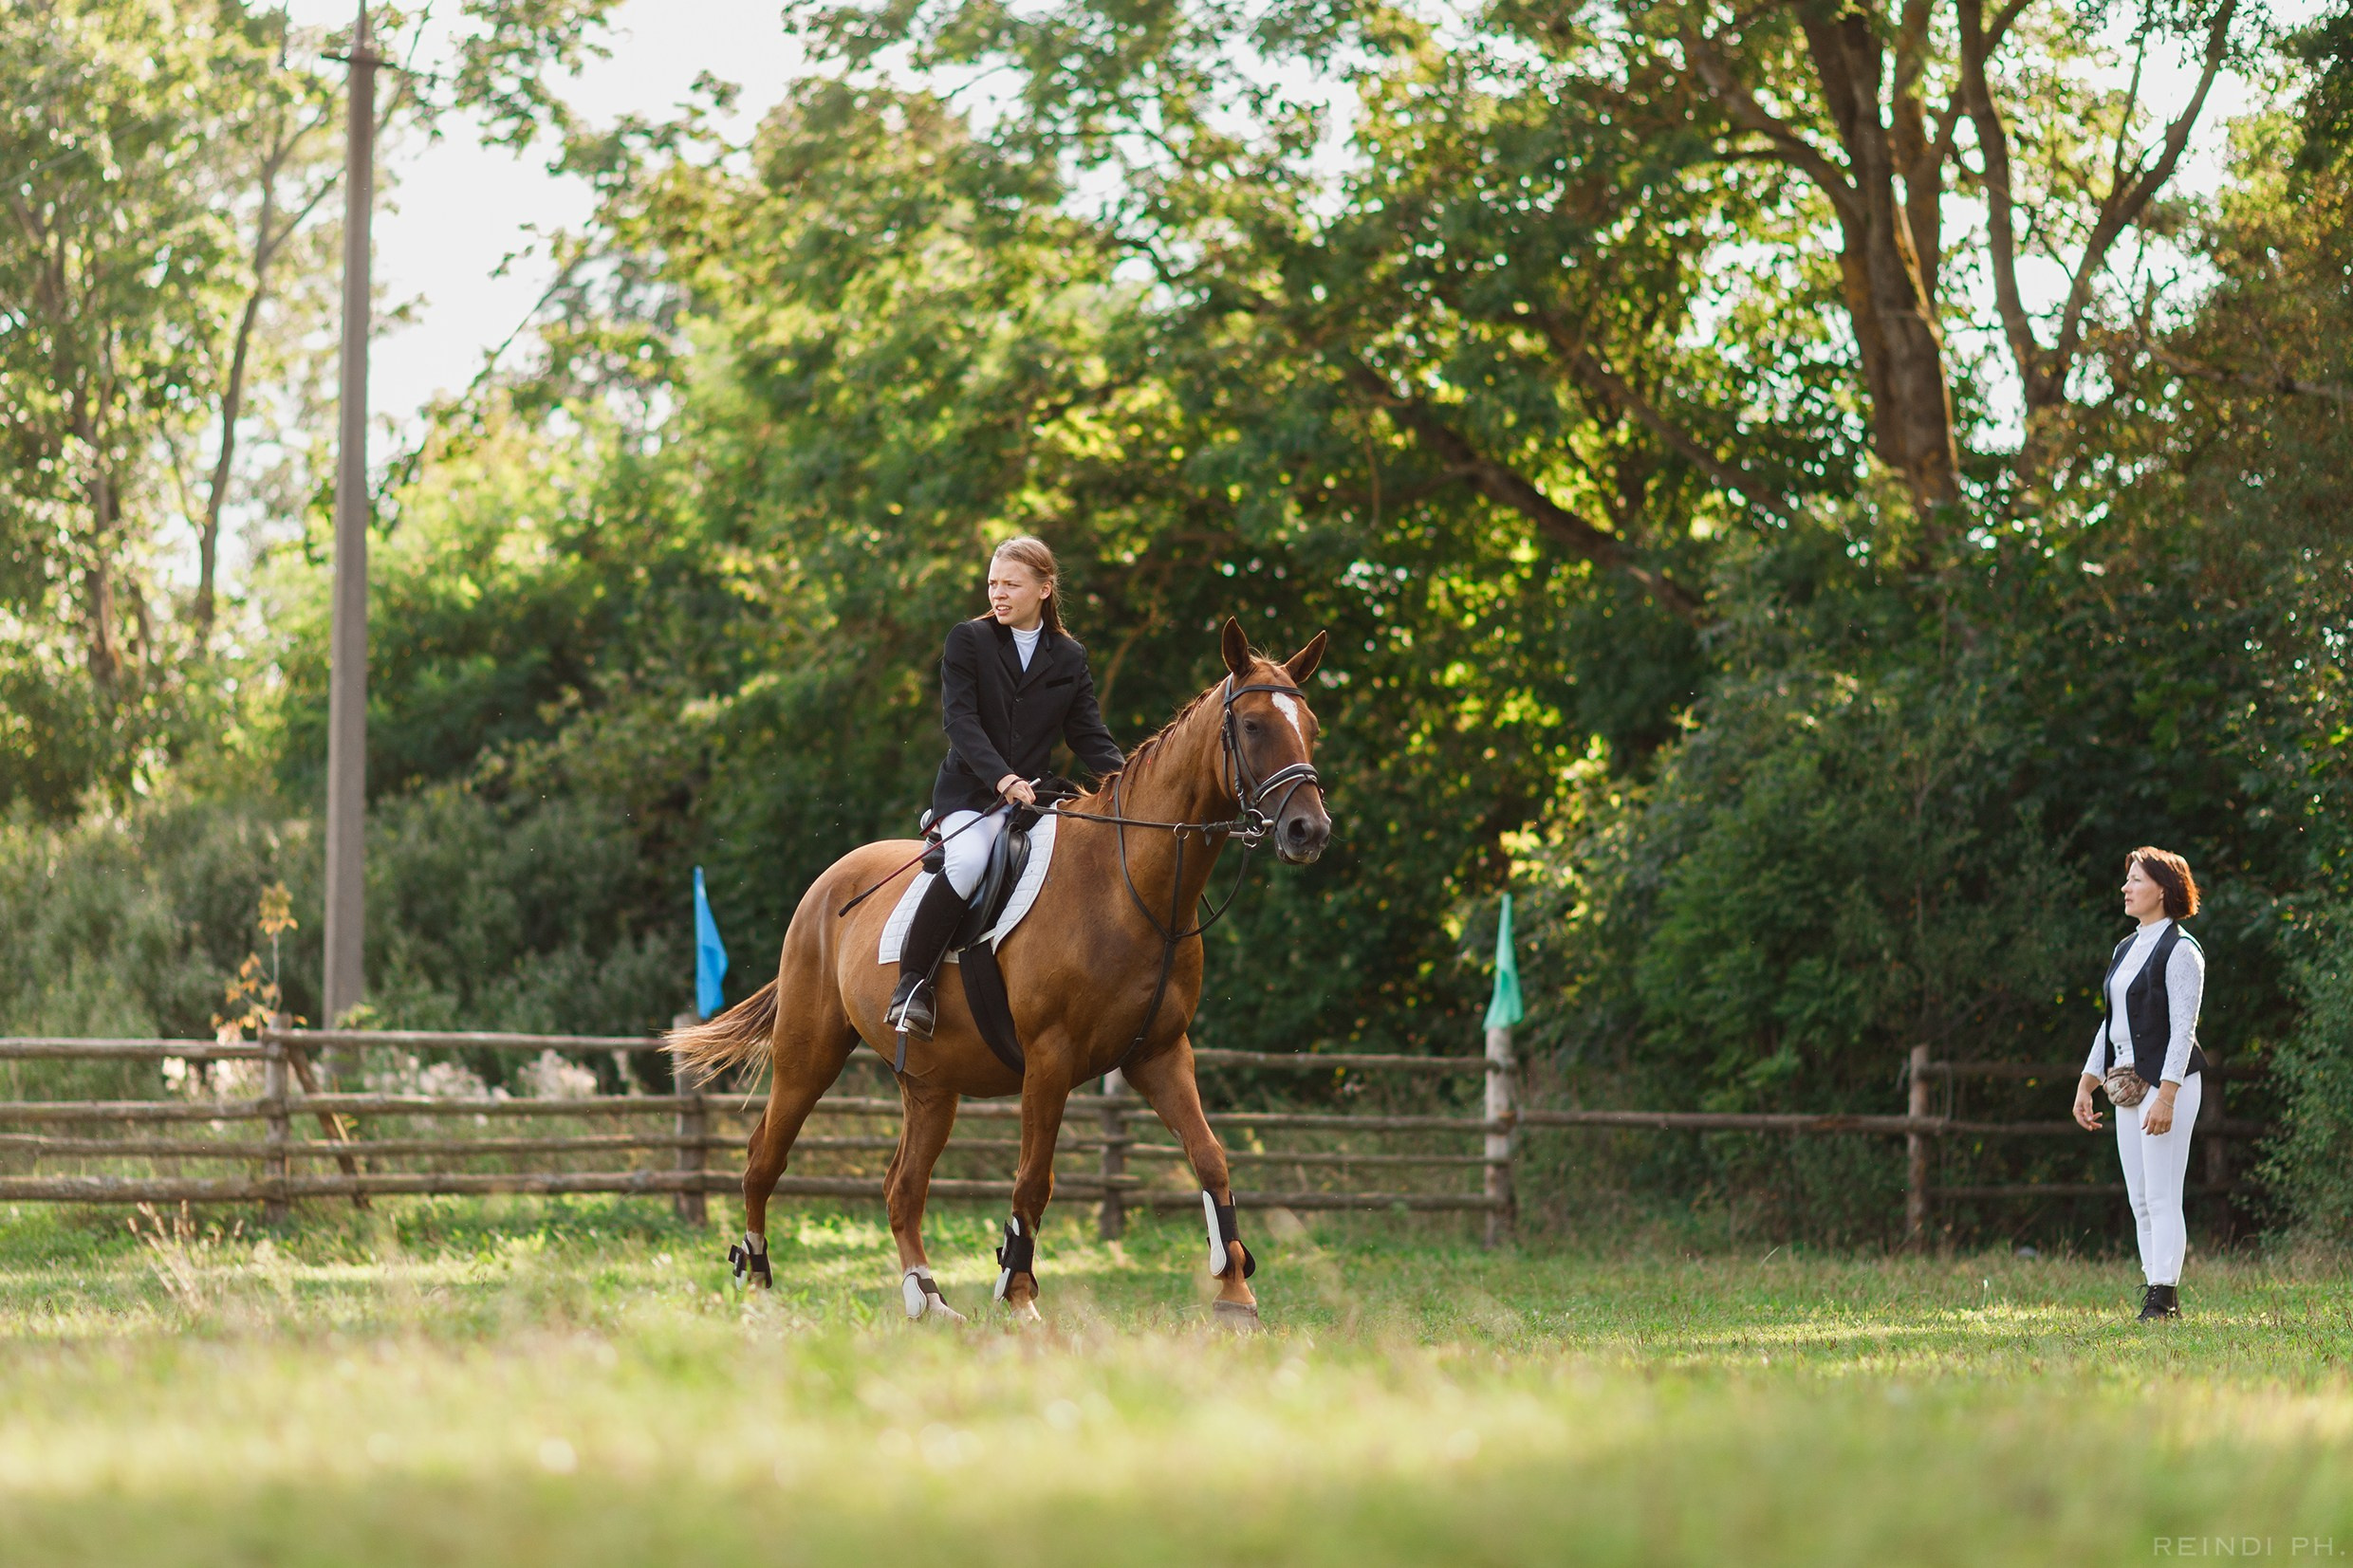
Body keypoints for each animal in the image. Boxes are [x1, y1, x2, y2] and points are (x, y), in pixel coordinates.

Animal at [666, 617, 1333, 1323]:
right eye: (1254, 725)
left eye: (1311, 725)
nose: (1309, 830)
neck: (1130, 886)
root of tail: (824, 887)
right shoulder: (1050, 1057)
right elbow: (1033, 1180)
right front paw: (1019, 1298)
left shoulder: (1159, 1052)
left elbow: (1211, 1159)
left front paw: (1236, 1295)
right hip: (807, 1055)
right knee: (763, 1158)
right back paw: (757, 1284)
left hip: (932, 1087)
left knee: (902, 1186)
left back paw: (928, 1299)